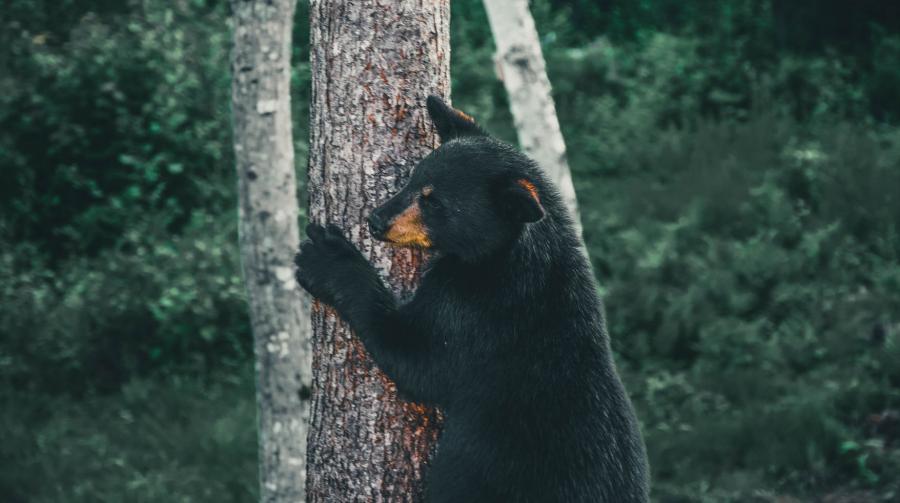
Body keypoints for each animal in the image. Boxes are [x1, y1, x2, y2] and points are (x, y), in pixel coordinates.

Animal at [298, 96, 652, 502]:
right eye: (413, 179)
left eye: (435, 203)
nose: (376, 220)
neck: (505, 254)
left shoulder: (481, 313)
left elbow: (418, 358)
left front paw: (326, 258)